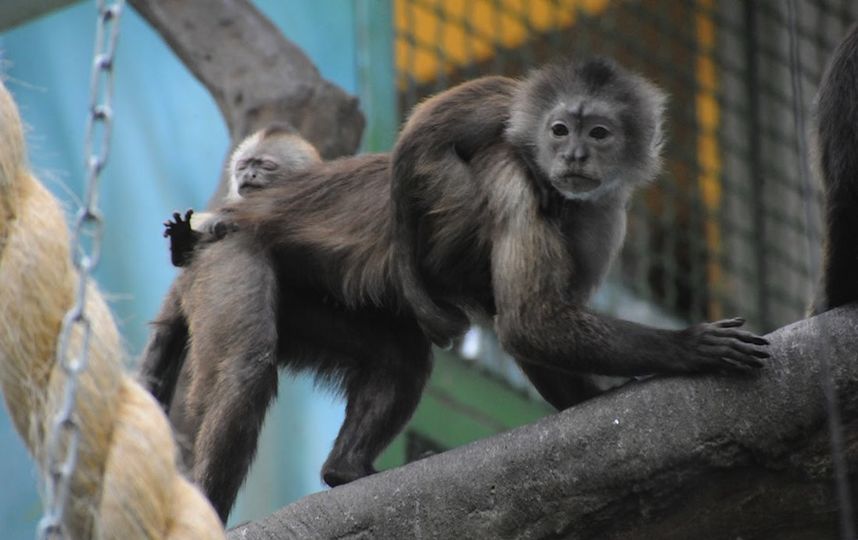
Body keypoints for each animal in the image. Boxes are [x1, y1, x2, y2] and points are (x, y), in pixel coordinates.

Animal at [137, 57, 764, 520]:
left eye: (600, 133)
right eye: (560, 131)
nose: (573, 155)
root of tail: (230, 222)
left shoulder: (606, 215)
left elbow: (536, 330)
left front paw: (589, 403)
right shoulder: (513, 177)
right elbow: (530, 324)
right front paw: (690, 347)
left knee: (401, 353)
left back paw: (346, 470)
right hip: (229, 258)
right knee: (245, 365)